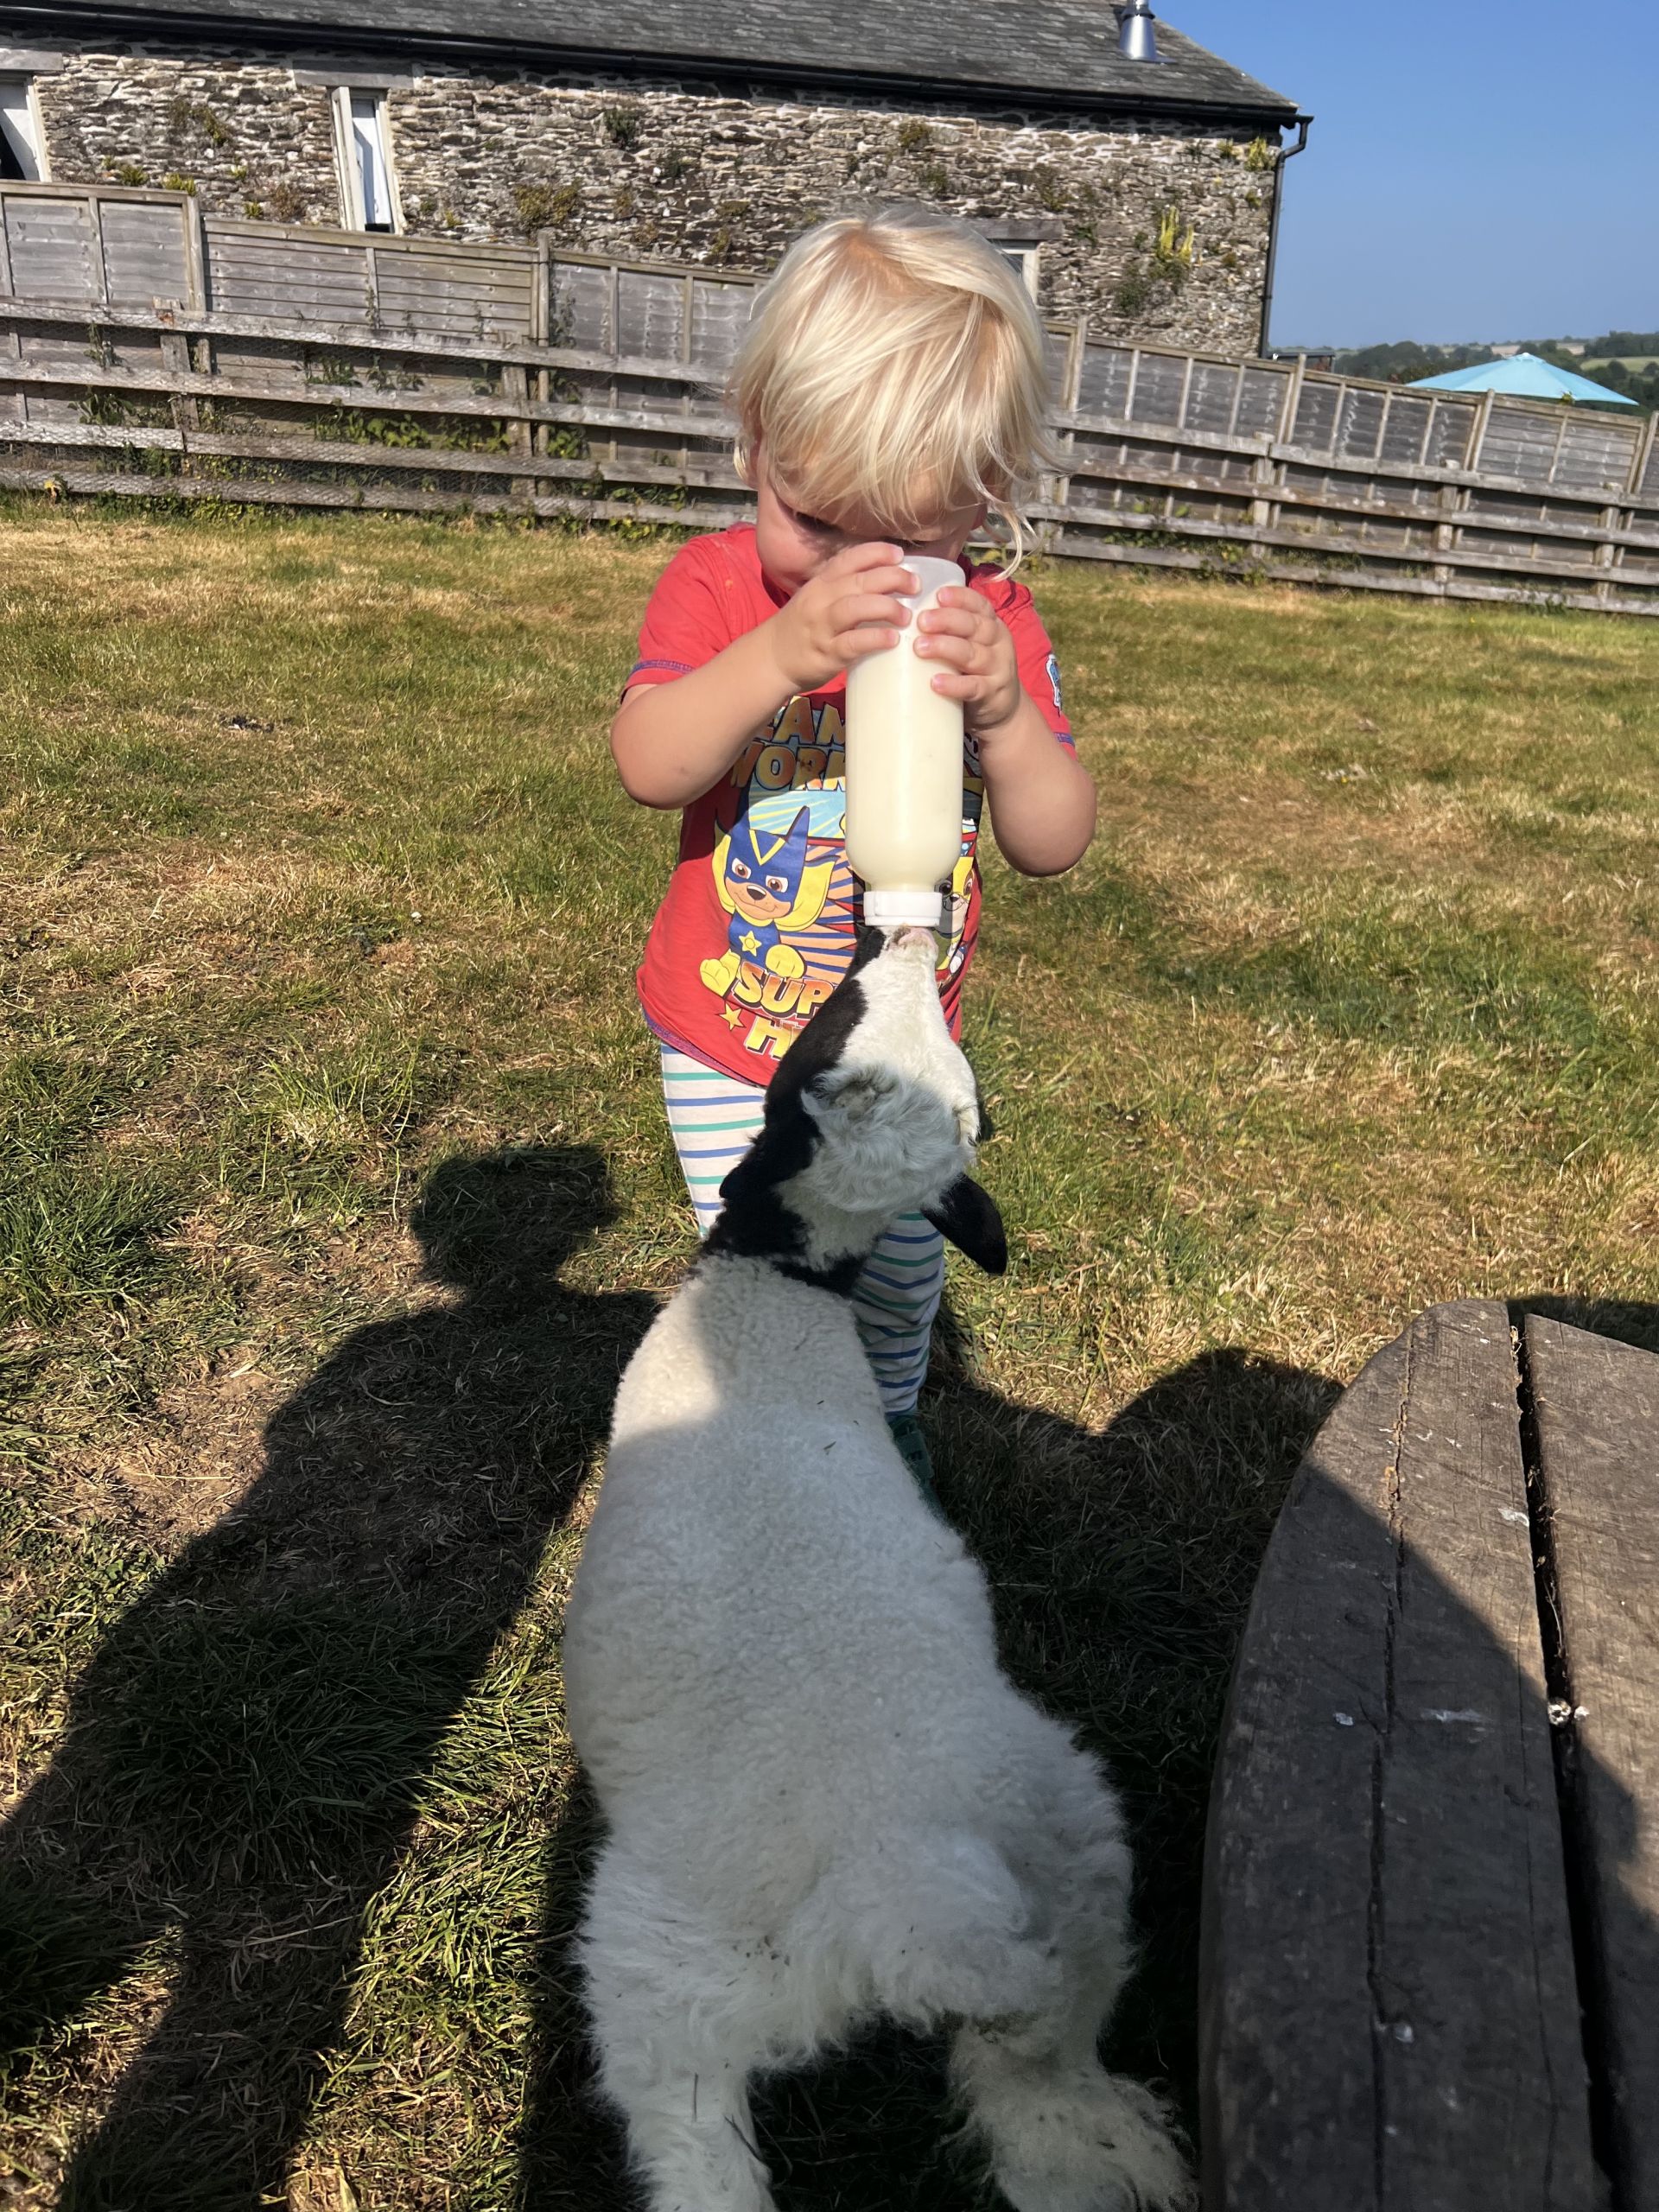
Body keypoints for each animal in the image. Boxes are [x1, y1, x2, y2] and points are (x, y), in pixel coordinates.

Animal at [562, 925, 1194, 2202]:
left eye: (824, 1026)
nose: (901, 934)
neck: (774, 1297)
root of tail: (912, 1901)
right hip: (1075, 1847)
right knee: (1041, 2053)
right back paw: (1098, 2151)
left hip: (670, 1977)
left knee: (695, 2148)